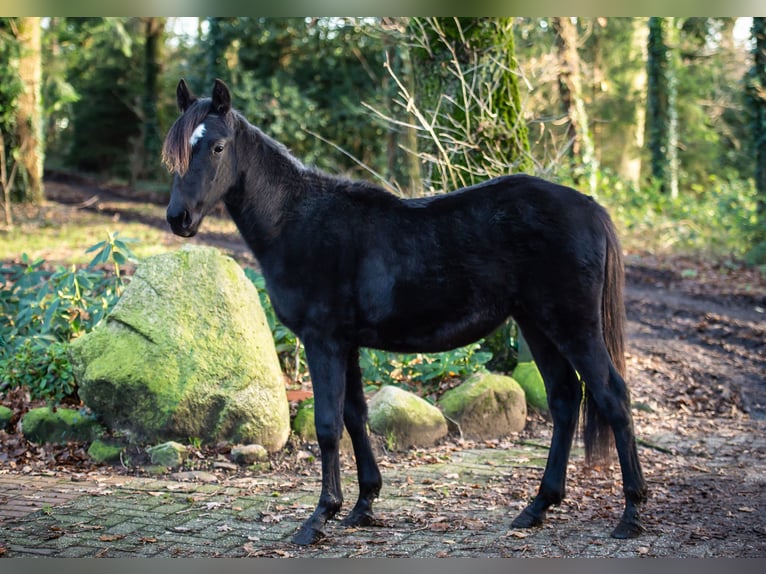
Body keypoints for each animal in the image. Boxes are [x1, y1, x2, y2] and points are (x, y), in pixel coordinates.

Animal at [162, 80, 648, 544]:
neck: (297, 220)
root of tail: (590, 208)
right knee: (565, 399)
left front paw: (319, 518)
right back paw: (537, 507)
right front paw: (363, 506)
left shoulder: (323, 341)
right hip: (537, 325)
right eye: (179, 152)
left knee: (613, 397)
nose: (178, 218)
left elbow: (327, 426)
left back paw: (632, 513)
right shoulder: (347, 345)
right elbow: (355, 417)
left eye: (218, 146)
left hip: (573, 327)